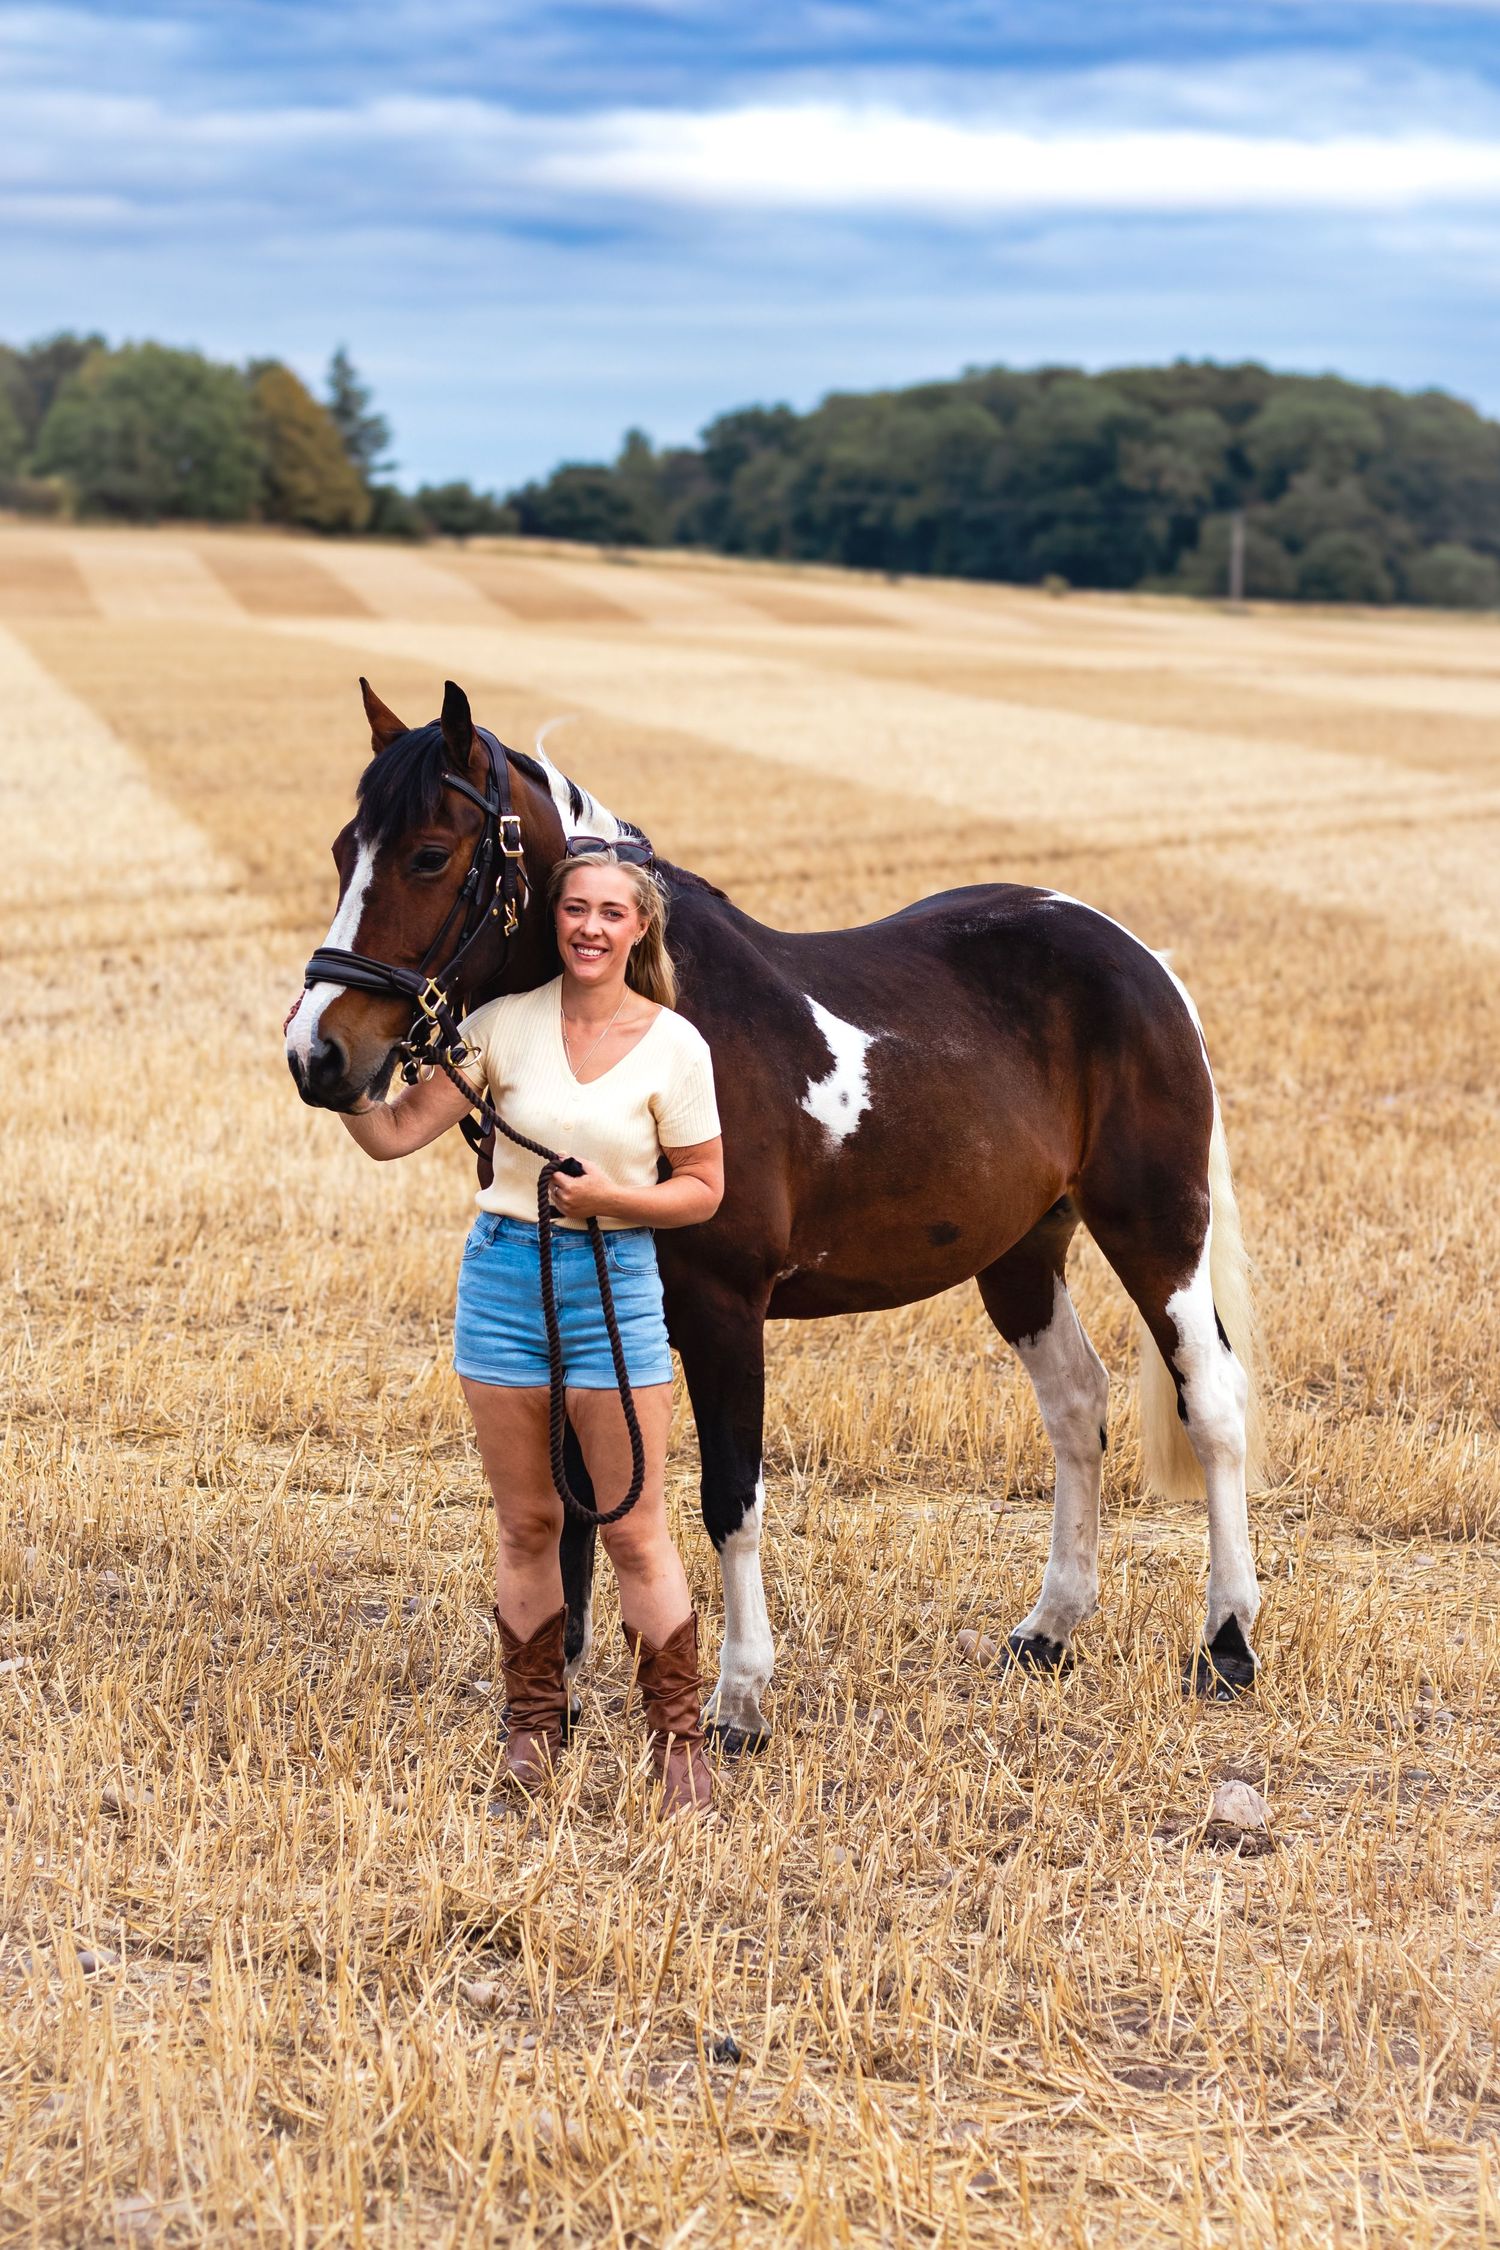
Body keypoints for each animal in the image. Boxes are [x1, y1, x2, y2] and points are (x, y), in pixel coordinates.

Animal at [287, 678, 1266, 1744]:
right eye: (342, 849)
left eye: (430, 854)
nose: (317, 1055)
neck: (682, 1015)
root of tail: (1141, 960)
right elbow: (577, 1495)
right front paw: (561, 1696)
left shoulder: (725, 1312)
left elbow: (730, 1495)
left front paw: (738, 1701)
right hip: (1020, 1254)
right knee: (1077, 1404)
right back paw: (1047, 1631)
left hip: (1156, 1228)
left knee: (1212, 1403)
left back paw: (1226, 1645)